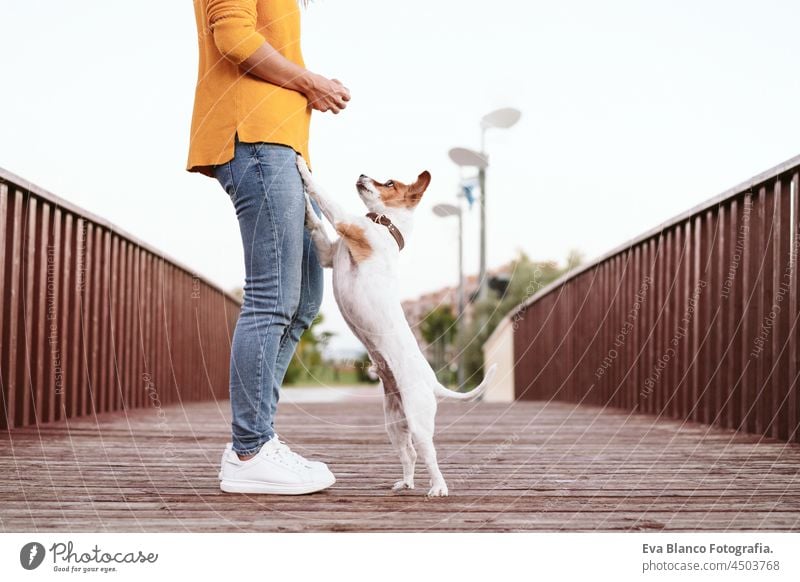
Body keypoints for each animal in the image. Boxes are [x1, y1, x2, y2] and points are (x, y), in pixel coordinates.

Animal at [296, 155, 494, 498]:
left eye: (389, 183)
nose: (362, 173)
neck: (386, 226)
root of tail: (432, 381)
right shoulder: (327, 253)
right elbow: (315, 221)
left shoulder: (347, 224)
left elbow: (324, 197)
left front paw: (302, 169)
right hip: (393, 423)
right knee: (409, 453)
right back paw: (406, 482)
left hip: (418, 421)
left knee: (429, 454)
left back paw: (438, 487)